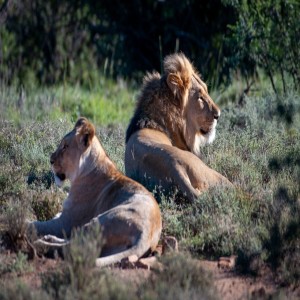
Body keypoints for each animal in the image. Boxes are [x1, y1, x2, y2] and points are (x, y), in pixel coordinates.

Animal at [32, 117, 162, 268]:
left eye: (65, 146)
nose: (51, 160)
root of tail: (146, 236)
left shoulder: (66, 222)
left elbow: (36, 225)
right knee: (74, 242)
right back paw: (48, 238)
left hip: (101, 220)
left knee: (73, 247)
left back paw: (40, 243)